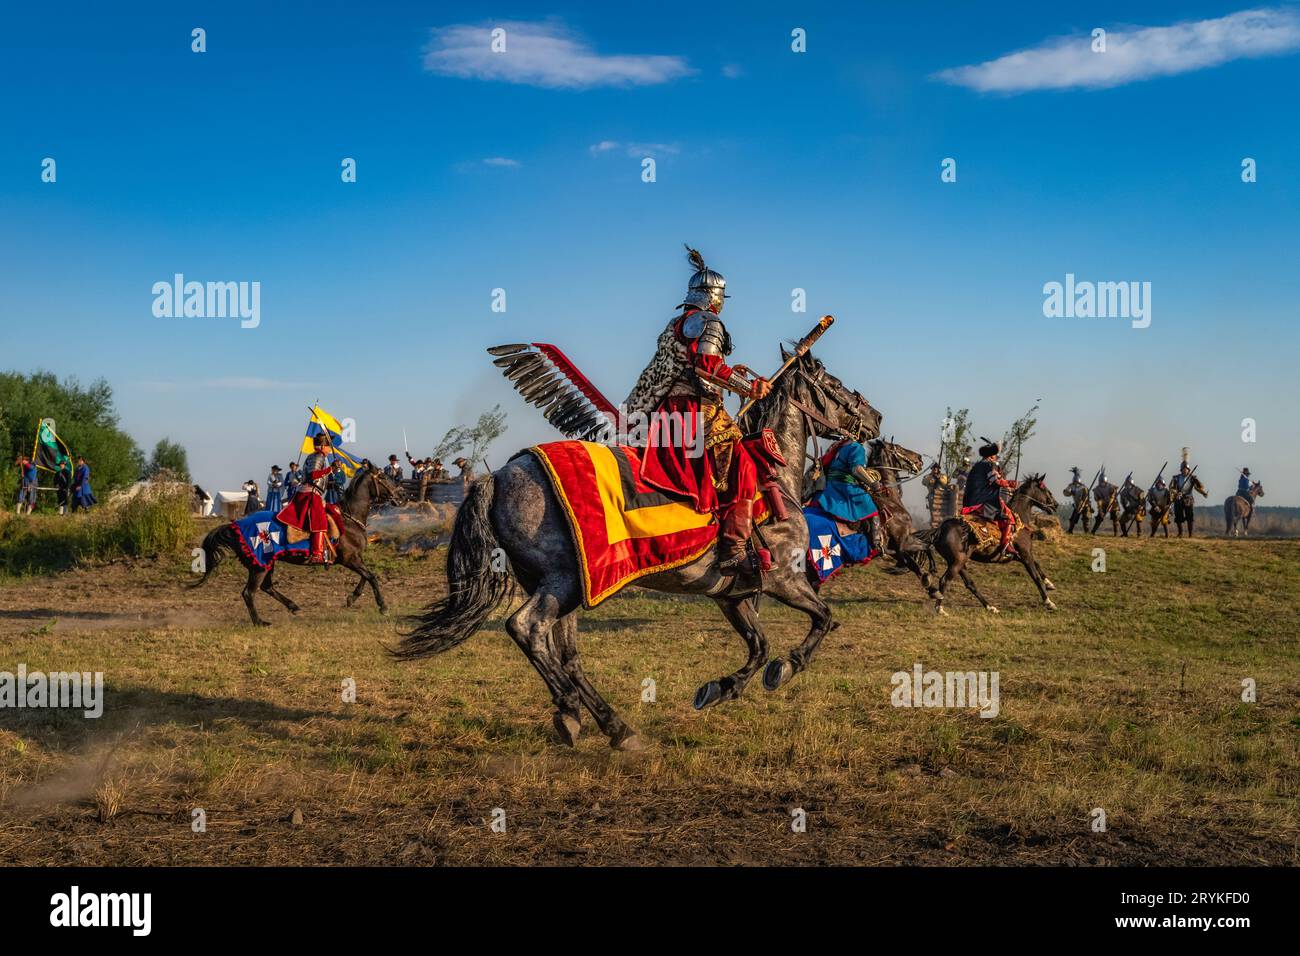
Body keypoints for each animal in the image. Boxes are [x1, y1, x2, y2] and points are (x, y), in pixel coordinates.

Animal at [192, 463, 403, 629]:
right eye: (383, 477)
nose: (401, 495)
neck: (349, 518)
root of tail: (235, 525)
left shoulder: (355, 558)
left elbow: (365, 577)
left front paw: (352, 598)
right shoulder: (350, 559)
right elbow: (371, 577)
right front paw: (383, 606)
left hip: (266, 564)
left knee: (266, 587)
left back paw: (293, 607)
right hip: (259, 566)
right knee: (249, 593)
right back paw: (260, 622)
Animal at [925, 476, 1055, 616]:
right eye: (1044, 489)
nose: (1055, 505)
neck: (1018, 520)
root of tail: (939, 530)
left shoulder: (1021, 555)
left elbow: (1037, 565)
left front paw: (1049, 584)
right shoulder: (1025, 554)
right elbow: (1035, 577)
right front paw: (1049, 602)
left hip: (958, 562)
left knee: (970, 584)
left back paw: (990, 607)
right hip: (957, 562)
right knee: (945, 580)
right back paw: (940, 609)